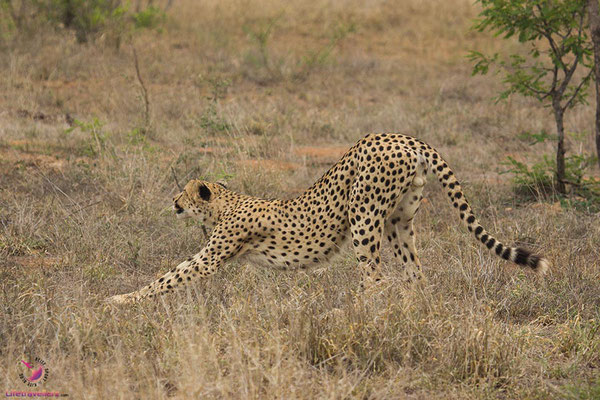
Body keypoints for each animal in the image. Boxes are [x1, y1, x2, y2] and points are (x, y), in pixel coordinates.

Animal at [108, 133, 548, 304]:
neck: (224, 204)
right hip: (399, 222)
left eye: (183, 192)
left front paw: (120, 301)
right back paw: (414, 308)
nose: (173, 202)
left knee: (374, 278)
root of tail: (403, 137)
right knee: (415, 273)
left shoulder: (213, 255)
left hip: (364, 216)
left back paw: (350, 313)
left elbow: (171, 275)